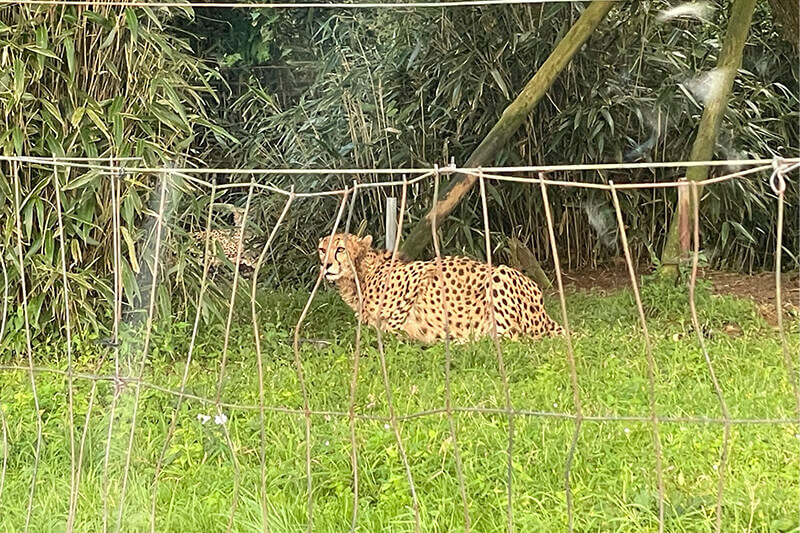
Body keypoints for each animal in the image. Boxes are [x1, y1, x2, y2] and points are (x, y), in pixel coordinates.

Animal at [316, 231, 564, 342]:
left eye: (340, 249)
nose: (326, 265)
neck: (361, 274)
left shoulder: (419, 276)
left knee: (510, 339)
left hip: (500, 274)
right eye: (322, 249)